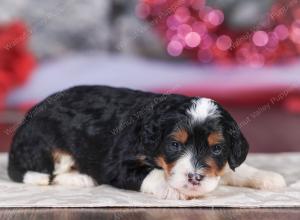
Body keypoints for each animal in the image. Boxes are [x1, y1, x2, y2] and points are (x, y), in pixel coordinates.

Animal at [8, 85, 288, 199]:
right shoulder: (118, 163)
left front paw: (267, 177)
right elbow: (152, 174)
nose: (195, 178)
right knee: (45, 173)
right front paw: (176, 189)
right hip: (49, 142)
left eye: (217, 148)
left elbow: (232, 168)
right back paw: (81, 178)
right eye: (175, 145)